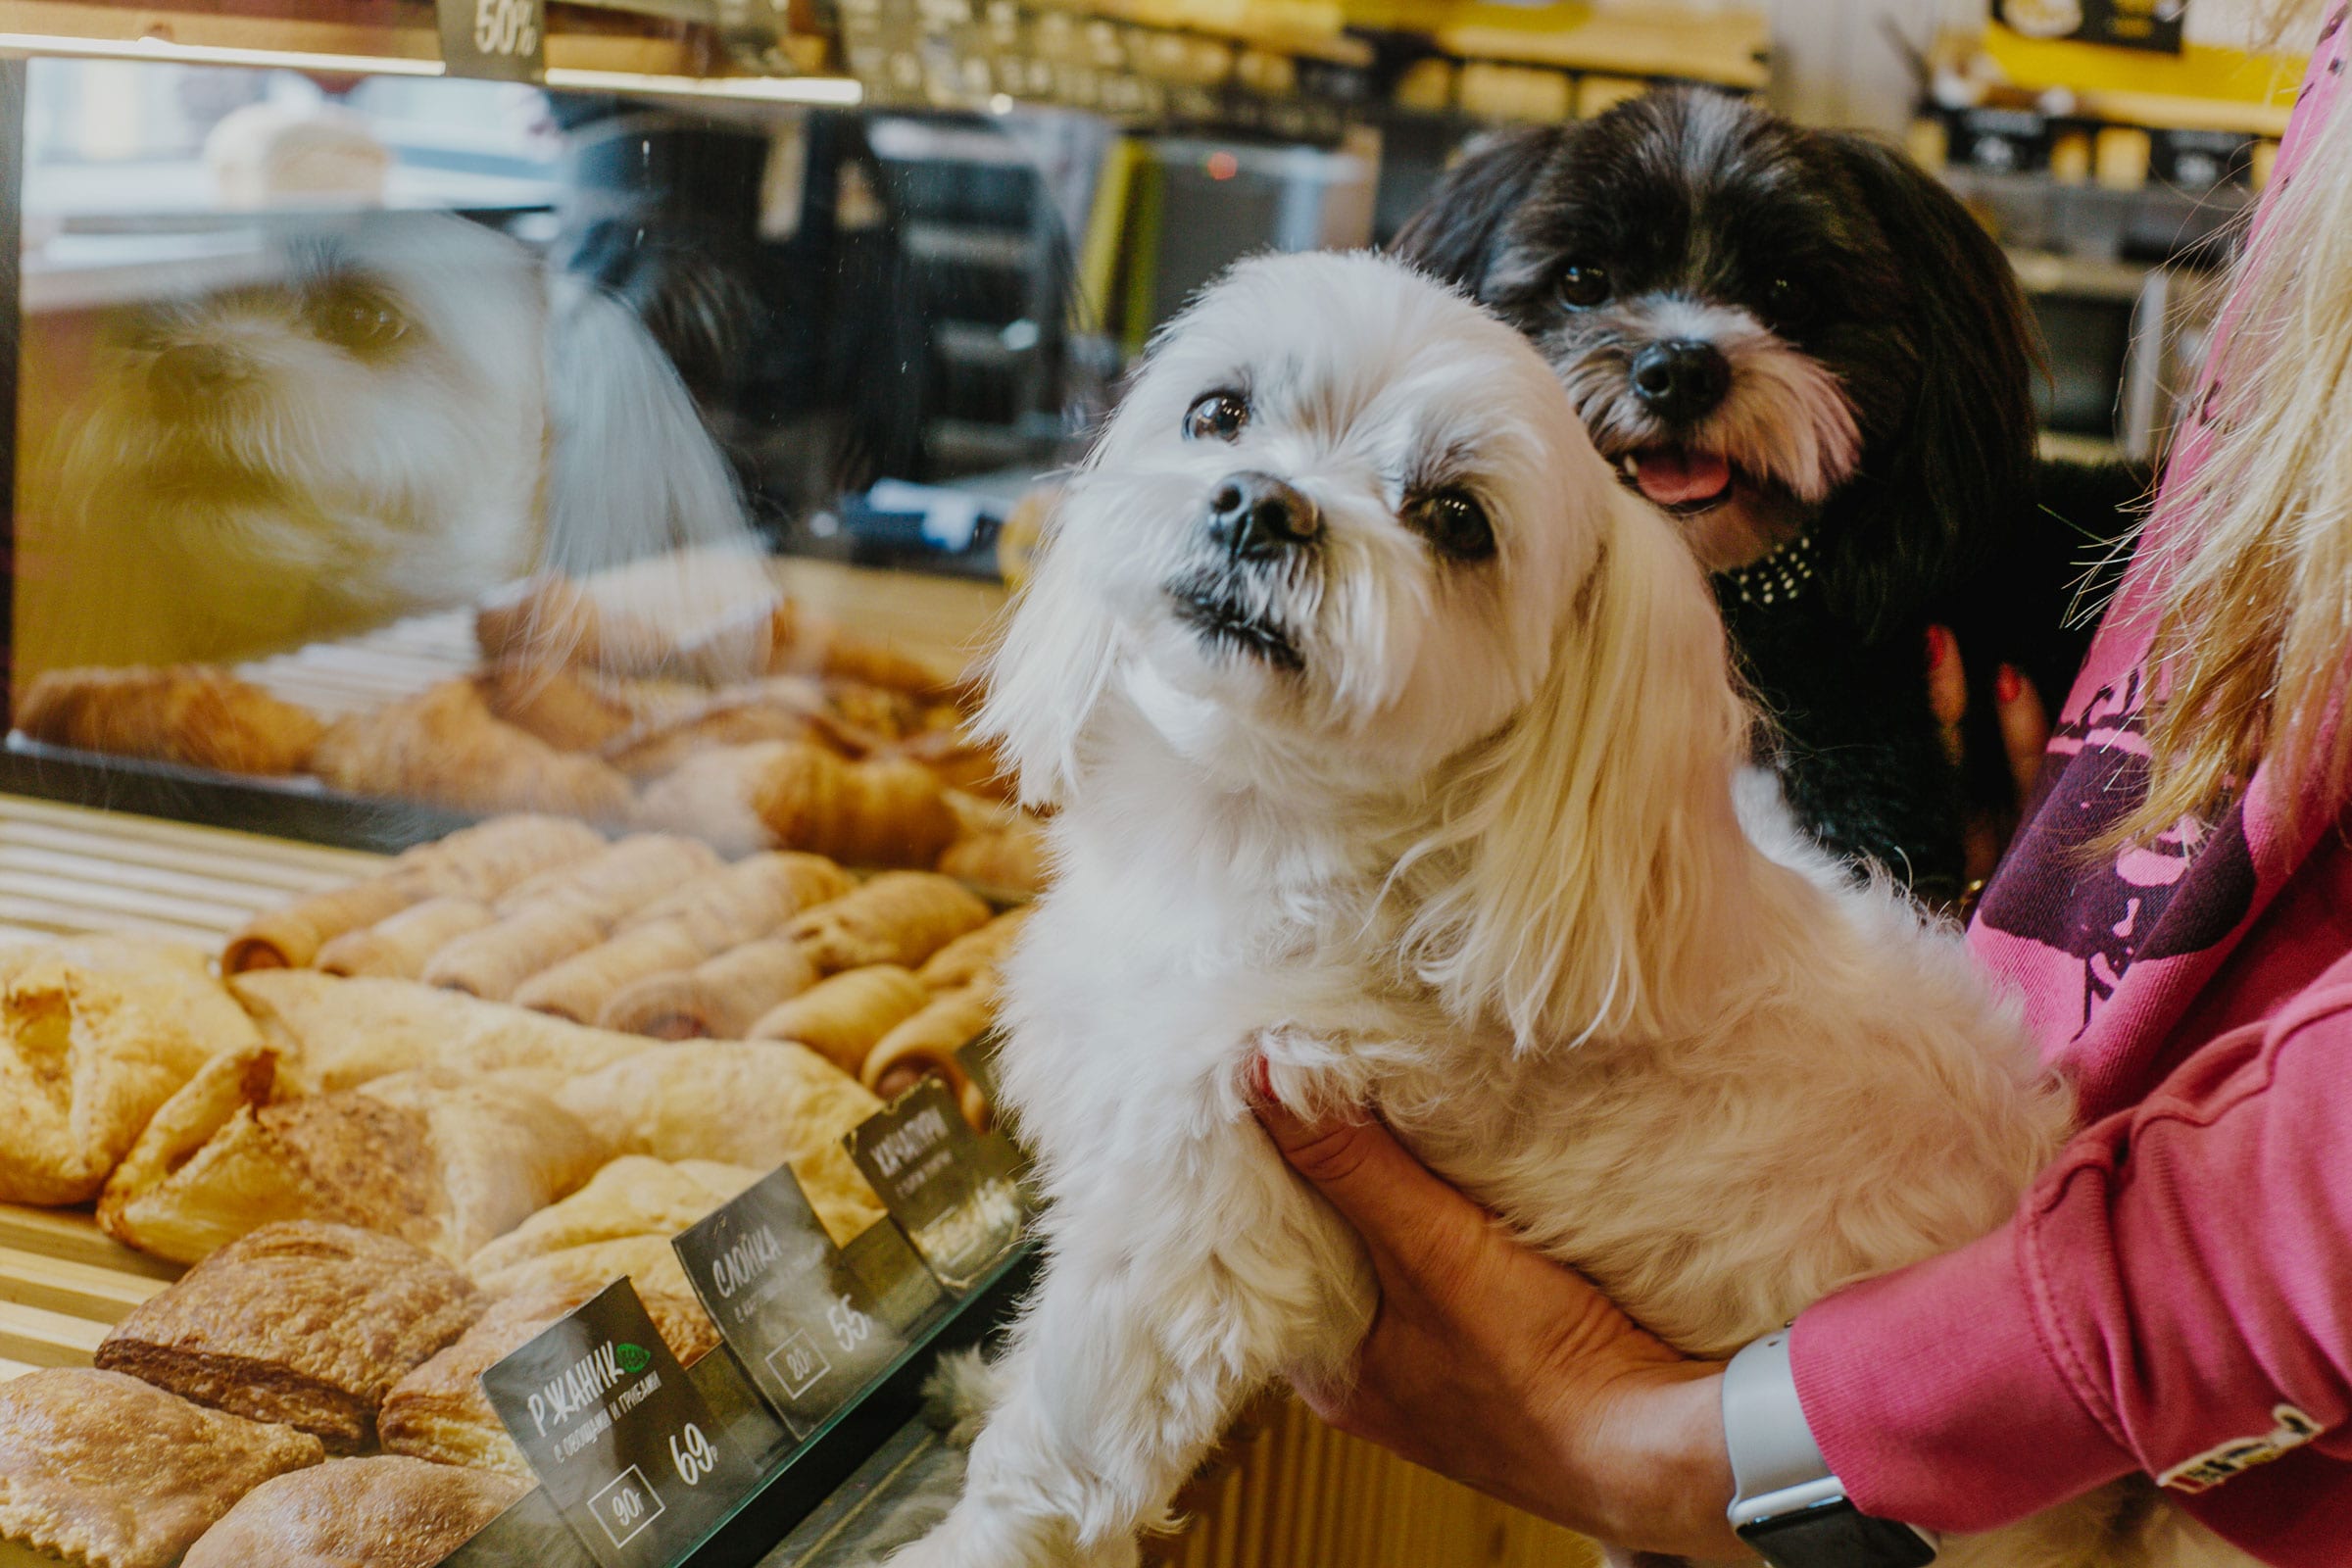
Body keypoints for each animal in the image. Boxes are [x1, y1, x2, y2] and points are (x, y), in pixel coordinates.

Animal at [889, 248, 2248, 1568]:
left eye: (1455, 519)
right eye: (1219, 412)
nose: (1259, 503)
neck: (1253, 832)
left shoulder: (1204, 1213)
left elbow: (1064, 1448)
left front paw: (964, 1535)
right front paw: (973, 1393)